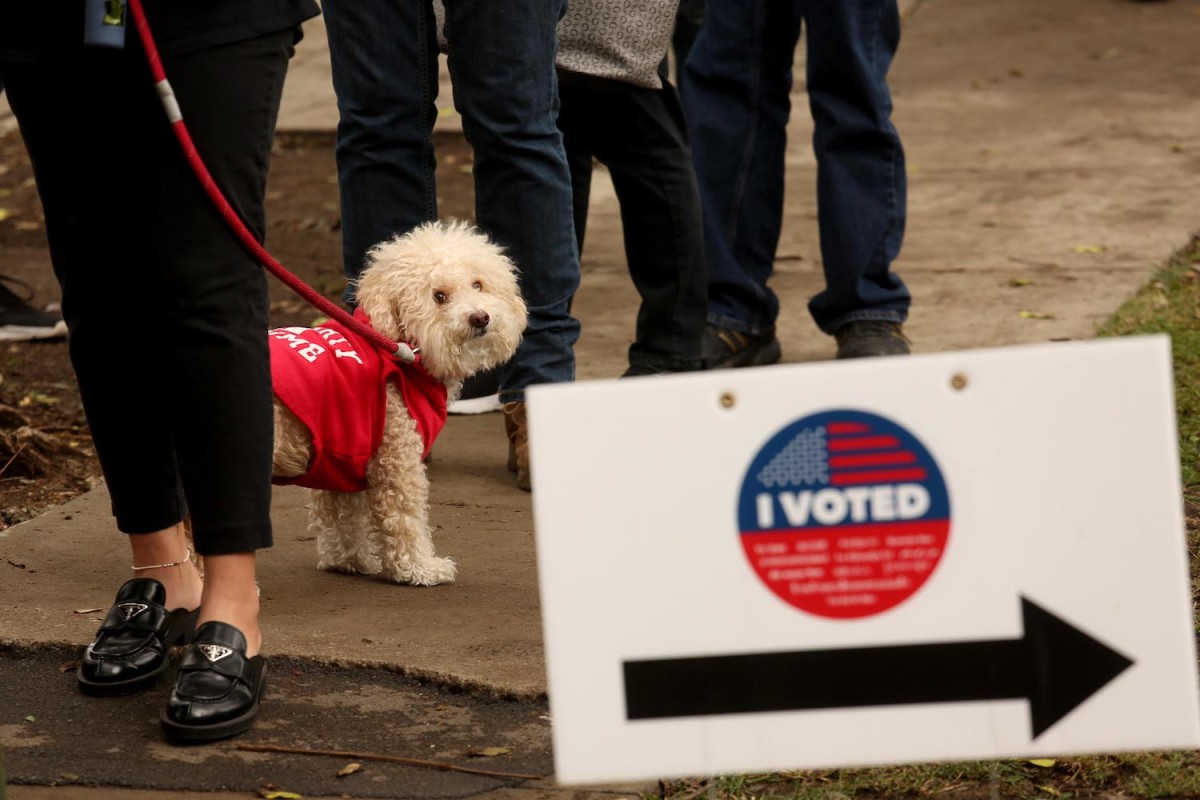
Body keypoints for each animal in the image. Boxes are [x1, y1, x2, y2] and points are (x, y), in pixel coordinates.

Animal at [270, 221, 528, 585]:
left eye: (478, 284)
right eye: (439, 296)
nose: (480, 318)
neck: (395, 345)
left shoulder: (341, 456)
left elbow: (340, 518)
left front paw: (348, 561)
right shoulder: (396, 458)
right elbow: (404, 519)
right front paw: (419, 568)